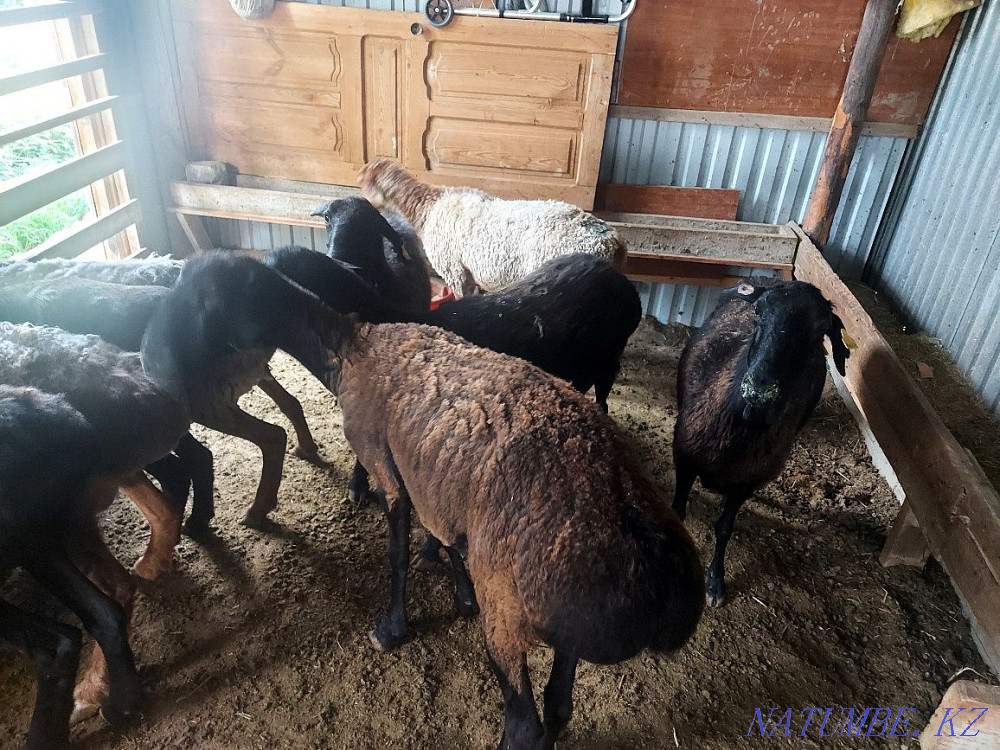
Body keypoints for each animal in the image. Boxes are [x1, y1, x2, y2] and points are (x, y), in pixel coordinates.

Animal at [357, 159, 628, 297]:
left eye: (362, 181)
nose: (364, 203)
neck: (428, 207)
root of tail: (611, 241)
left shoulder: (454, 269)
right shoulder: (466, 272)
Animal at [672, 278, 851, 607]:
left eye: (821, 330)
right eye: (758, 312)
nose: (759, 392)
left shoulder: (748, 481)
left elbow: (725, 527)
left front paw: (715, 583)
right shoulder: (685, 458)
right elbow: (678, 512)